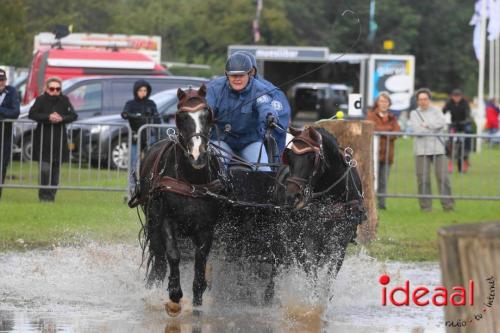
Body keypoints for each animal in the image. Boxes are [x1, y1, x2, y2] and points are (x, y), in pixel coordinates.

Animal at [131, 84, 223, 316]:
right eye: (181, 116)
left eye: (207, 114)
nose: (198, 155)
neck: (191, 180)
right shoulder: (165, 221)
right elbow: (173, 254)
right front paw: (174, 295)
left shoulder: (206, 227)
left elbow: (200, 260)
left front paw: (198, 299)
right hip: (153, 223)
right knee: (159, 260)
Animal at [280, 126, 366, 278]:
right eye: (289, 156)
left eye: (312, 158)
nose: (292, 197)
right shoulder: (309, 240)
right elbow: (311, 273)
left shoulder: (339, 243)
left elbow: (329, 276)